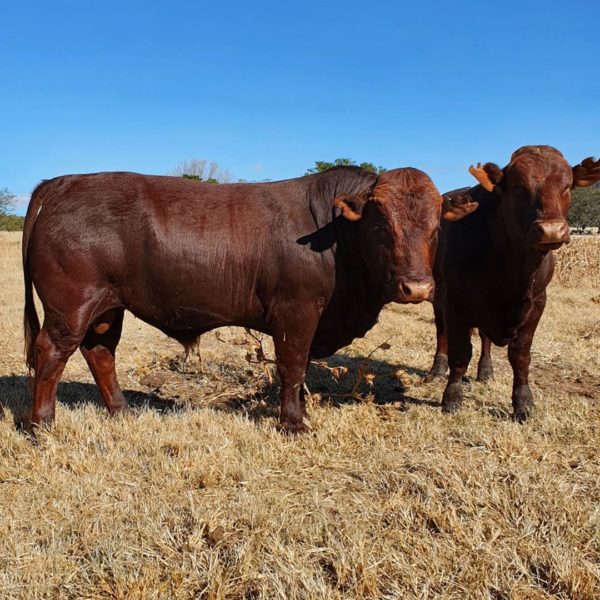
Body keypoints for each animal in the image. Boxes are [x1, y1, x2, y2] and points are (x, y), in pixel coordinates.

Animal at [23, 165, 476, 432]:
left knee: (100, 352)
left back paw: (121, 411)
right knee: (52, 352)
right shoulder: (296, 312)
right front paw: (293, 423)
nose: (417, 289)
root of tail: (66, 181)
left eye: (436, 226)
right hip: (71, 305)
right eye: (381, 224)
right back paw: (42, 425)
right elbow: (292, 367)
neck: (334, 234)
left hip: (108, 307)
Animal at [426, 145, 600, 420]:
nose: (552, 230)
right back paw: (438, 369)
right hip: (440, 296)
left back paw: (486, 370)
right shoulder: (455, 300)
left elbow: (520, 356)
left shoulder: (537, 303)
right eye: (519, 187)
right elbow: (460, 352)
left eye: (568, 186)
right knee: (442, 331)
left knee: (484, 339)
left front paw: (523, 402)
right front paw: (451, 397)